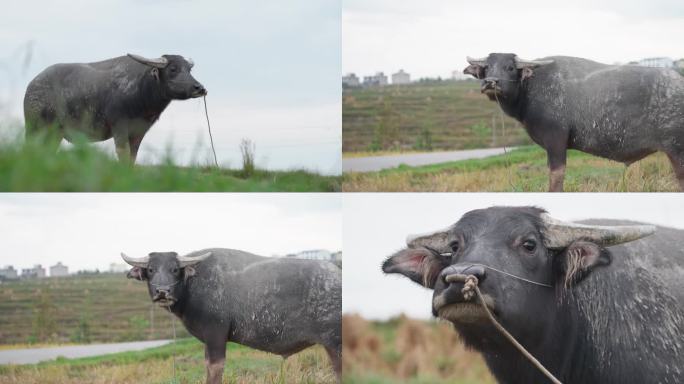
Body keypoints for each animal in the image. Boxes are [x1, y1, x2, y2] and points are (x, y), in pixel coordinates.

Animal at [24, 54, 206, 162]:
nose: (199, 88)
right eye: (173, 69)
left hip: (54, 133)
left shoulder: (139, 132)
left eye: (189, 70)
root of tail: (32, 85)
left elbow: (133, 156)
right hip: (35, 128)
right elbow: (123, 154)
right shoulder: (119, 128)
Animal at [122, 248, 342, 382]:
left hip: (335, 344)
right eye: (151, 269)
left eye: (175, 269)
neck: (194, 285)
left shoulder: (216, 336)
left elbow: (215, 369)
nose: (162, 291)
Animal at [462, 53, 684, 191]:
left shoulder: (556, 142)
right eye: (487, 67)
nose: (491, 82)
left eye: (509, 67)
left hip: (677, 152)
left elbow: (556, 180)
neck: (531, 88)